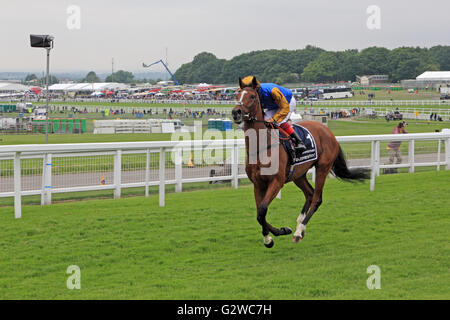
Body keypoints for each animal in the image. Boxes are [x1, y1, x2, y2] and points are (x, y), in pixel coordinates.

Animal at [232, 77, 370, 248]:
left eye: (251, 96)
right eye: (237, 94)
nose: (236, 112)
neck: (261, 146)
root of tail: (328, 132)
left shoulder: (276, 181)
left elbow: (262, 210)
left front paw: (273, 236)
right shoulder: (258, 183)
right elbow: (259, 213)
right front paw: (276, 233)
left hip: (322, 167)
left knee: (317, 198)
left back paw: (299, 231)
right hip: (298, 174)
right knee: (309, 194)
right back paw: (299, 225)